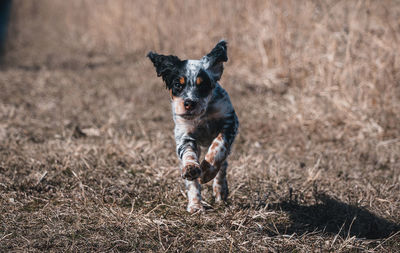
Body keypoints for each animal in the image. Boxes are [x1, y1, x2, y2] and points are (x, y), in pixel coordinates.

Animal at [148, 40, 239, 212]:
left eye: (203, 86)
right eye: (178, 85)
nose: (189, 103)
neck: (202, 117)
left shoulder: (230, 122)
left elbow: (219, 147)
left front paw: (207, 171)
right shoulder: (184, 135)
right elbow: (188, 155)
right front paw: (192, 168)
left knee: (222, 167)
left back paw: (220, 192)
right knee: (192, 183)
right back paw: (195, 205)